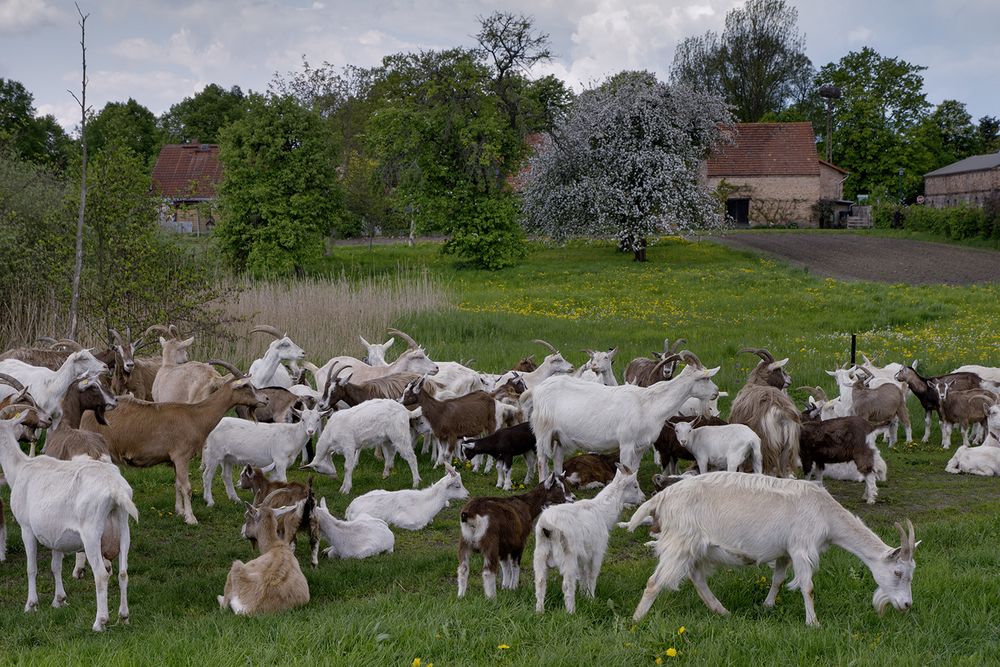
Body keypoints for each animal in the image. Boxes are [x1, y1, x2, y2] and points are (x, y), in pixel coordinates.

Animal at [0, 410, 139, 636]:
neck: (20, 468)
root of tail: (115, 491)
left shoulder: (26, 528)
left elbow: (31, 568)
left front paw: (31, 605)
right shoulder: (56, 535)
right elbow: (55, 566)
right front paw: (59, 600)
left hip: (92, 534)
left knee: (101, 575)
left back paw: (100, 622)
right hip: (124, 529)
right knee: (123, 572)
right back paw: (123, 617)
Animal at [82, 378, 268, 524]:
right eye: (247, 386)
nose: (266, 398)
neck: (196, 416)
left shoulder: (174, 459)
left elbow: (177, 484)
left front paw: (179, 511)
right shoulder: (181, 456)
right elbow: (187, 487)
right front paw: (191, 518)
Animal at [532, 350, 720, 480]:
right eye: (705, 378)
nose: (716, 392)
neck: (648, 404)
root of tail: (540, 388)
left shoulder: (641, 445)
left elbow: (634, 470)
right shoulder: (626, 443)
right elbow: (625, 469)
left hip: (559, 436)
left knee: (557, 457)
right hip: (543, 431)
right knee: (542, 459)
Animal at [536, 464, 644, 616]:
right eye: (635, 486)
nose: (643, 498)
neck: (602, 512)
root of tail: (547, 526)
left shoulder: (583, 555)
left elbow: (583, 574)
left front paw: (584, 595)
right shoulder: (597, 551)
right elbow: (592, 574)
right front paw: (591, 599)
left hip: (540, 553)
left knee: (540, 582)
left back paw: (539, 611)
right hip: (567, 555)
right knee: (567, 585)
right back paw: (571, 612)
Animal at [628, 474, 916, 628]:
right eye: (898, 572)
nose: (907, 605)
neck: (824, 512)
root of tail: (661, 498)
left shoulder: (784, 552)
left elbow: (778, 579)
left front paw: (767, 606)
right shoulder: (801, 548)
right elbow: (808, 587)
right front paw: (813, 623)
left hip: (696, 547)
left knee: (697, 579)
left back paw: (722, 611)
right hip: (680, 541)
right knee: (654, 582)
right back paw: (636, 620)